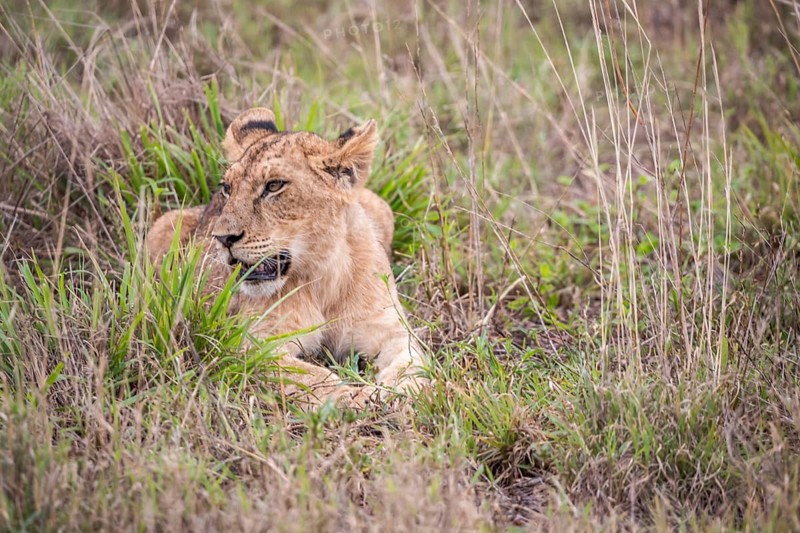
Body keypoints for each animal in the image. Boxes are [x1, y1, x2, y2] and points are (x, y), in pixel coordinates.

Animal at [146, 107, 426, 408]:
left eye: (274, 186)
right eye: (227, 188)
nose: (222, 238)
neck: (320, 279)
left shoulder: (388, 329)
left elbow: (413, 362)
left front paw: (402, 393)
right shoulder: (252, 344)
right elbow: (310, 376)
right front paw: (353, 397)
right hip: (163, 225)